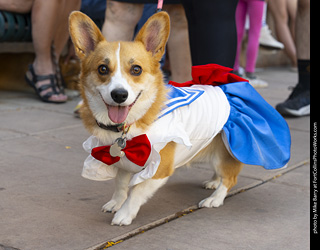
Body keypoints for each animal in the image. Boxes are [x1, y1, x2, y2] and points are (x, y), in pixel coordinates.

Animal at [69, 10, 290, 226]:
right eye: (103, 69)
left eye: (136, 69)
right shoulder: (122, 161)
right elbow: (121, 185)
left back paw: (215, 198)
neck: (129, 126)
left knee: (229, 178)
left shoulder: (159, 169)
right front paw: (116, 203)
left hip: (227, 151)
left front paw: (124, 214)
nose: (119, 95)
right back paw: (213, 181)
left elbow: (136, 192)